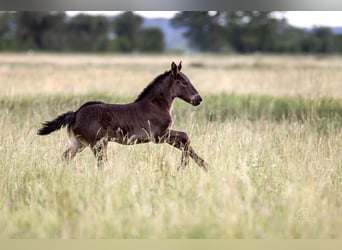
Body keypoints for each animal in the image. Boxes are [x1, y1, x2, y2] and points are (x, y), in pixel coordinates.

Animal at [38, 62, 208, 172]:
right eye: (183, 82)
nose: (198, 99)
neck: (156, 105)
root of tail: (75, 113)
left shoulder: (164, 136)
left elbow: (185, 143)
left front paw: (203, 165)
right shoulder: (159, 136)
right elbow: (186, 137)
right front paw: (183, 166)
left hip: (79, 143)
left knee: (66, 157)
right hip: (97, 144)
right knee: (100, 164)